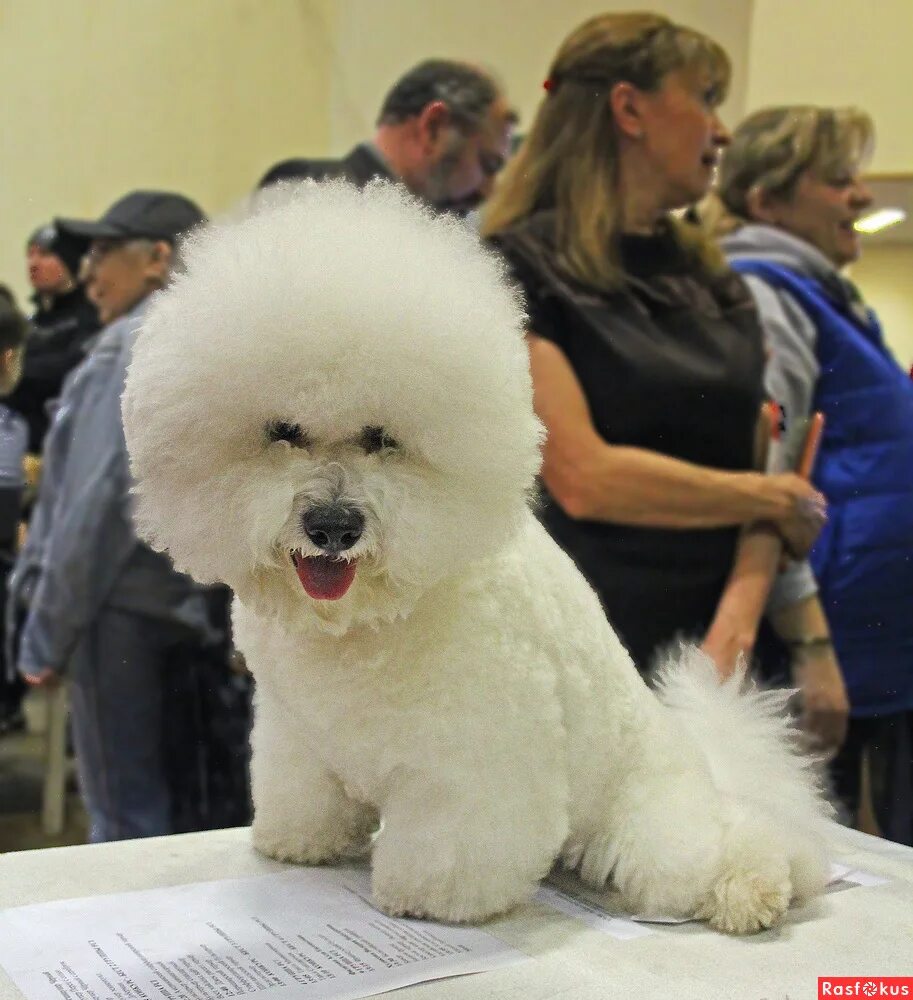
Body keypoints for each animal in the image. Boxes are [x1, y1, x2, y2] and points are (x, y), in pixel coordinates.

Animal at [121, 182, 832, 936]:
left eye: (382, 439)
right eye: (283, 432)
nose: (333, 527)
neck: (369, 623)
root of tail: (696, 755)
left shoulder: (473, 758)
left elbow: (455, 841)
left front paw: (429, 899)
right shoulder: (296, 732)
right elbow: (303, 794)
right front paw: (300, 842)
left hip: (652, 829)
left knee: (728, 846)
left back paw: (752, 889)